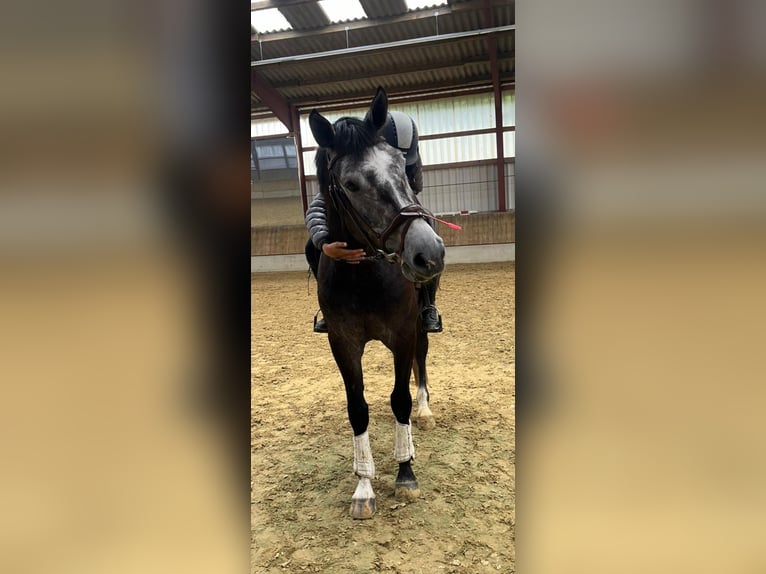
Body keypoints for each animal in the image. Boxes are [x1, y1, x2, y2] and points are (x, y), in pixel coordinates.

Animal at [308, 87, 446, 519]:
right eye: (350, 184)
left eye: (400, 165)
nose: (428, 254)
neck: (366, 277)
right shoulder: (343, 343)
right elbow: (358, 408)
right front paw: (364, 486)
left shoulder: (402, 333)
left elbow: (399, 398)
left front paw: (405, 473)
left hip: (420, 325)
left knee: (421, 361)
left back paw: (424, 412)